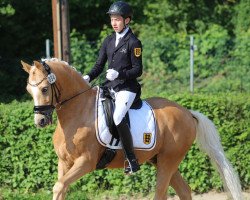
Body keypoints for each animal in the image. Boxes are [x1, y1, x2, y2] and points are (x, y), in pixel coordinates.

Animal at [21, 58, 242, 200]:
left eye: (44, 89)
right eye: (28, 90)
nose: (40, 120)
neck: (77, 111)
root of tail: (187, 113)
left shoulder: (86, 162)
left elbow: (59, 186)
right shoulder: (64, 163)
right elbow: (60, 188)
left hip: (168, 161)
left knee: (161, 194)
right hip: (162, 160)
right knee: (184, 191)